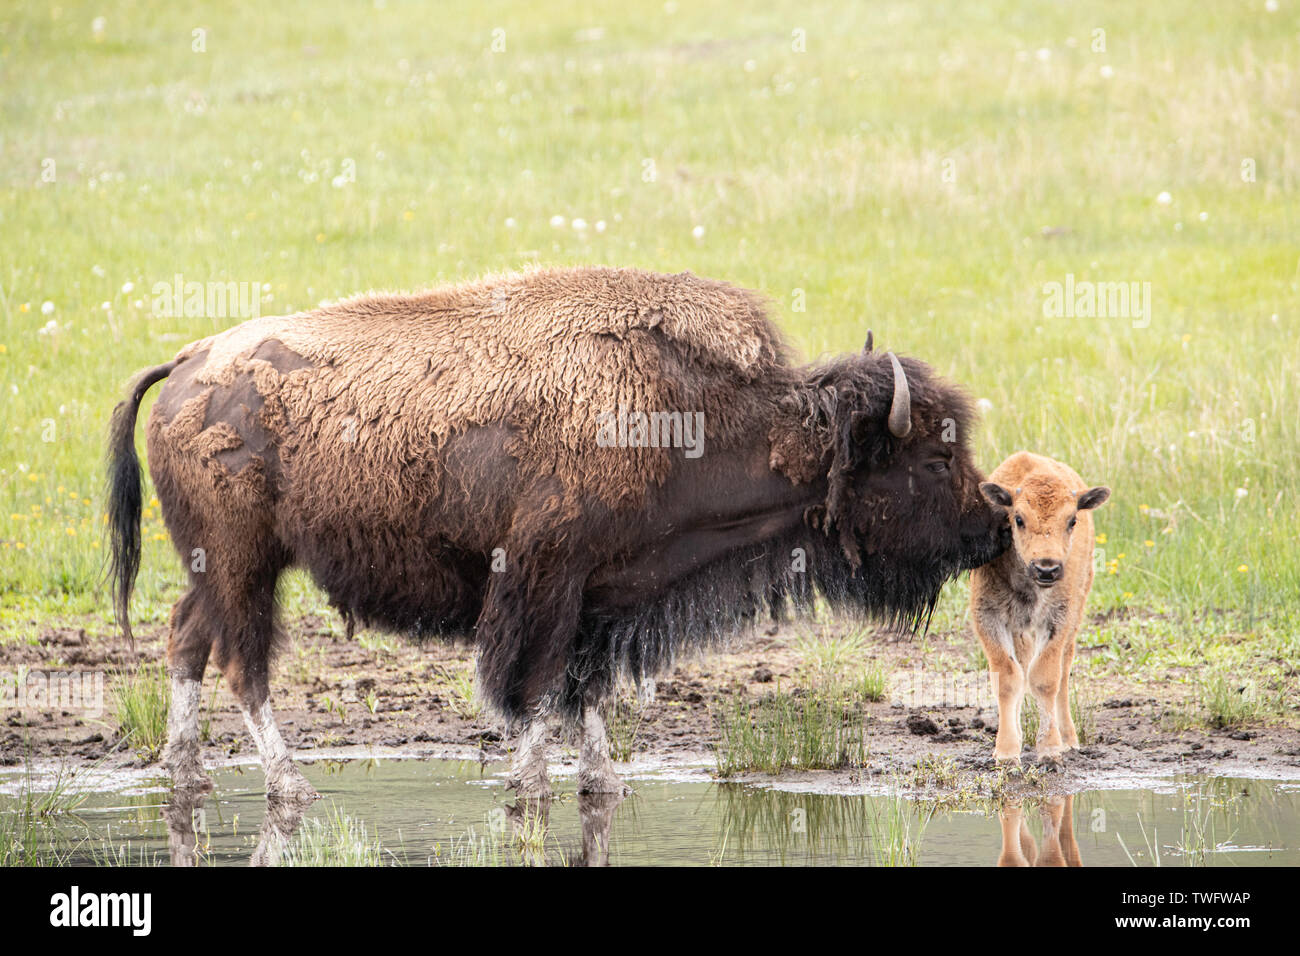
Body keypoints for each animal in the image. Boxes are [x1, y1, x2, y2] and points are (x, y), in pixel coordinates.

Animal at [106, 267, 1008, 801]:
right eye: (933, 458)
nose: (994, 525)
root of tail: (188, 360)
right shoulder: (546, 582)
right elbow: (537, 687)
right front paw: (531, 781)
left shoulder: (610, 594)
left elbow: (588, 687)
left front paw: (604, 782)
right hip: (244, 563)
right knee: (242, 662)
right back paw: (289, 785)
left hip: (212, 567)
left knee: (186, 641)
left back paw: (186, 773)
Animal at [972, 452, 1112, 764]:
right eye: (1018, 519)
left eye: (1072, 520)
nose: (1047, 568)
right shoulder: (989, 617)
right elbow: (1008, 677)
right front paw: (1006, 752)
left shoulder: (1058, 619)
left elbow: (1045, 678)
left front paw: (1050, 750)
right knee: (1023, 665)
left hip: (1076, 613)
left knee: (1064, 669)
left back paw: (1069, 739)